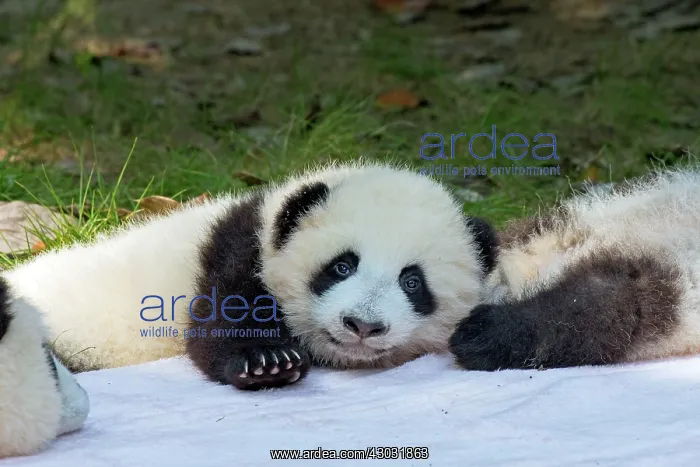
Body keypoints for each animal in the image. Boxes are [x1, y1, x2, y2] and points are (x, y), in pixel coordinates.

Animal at [0, 160, 498, 457]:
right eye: (341, 266)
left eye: (412, 282)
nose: (362, 325)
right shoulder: (235, 249)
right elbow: (220, 324)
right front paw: (268, 362)